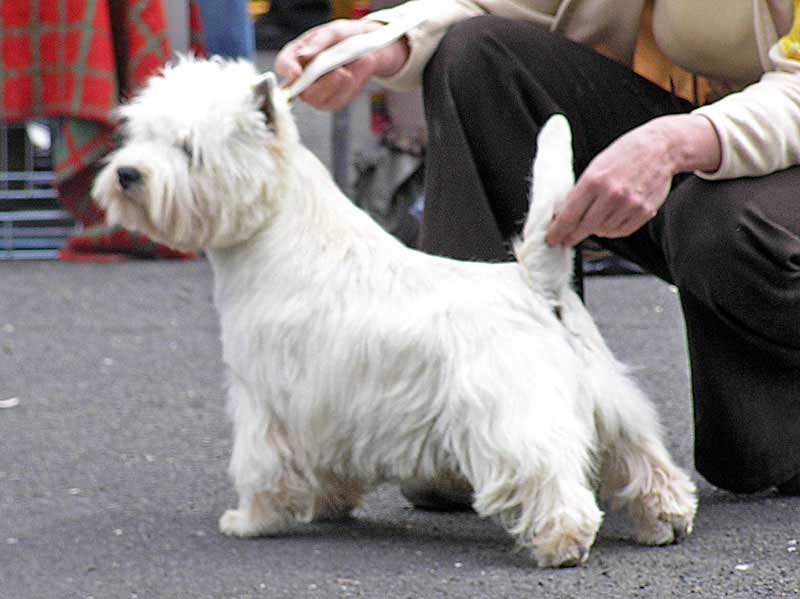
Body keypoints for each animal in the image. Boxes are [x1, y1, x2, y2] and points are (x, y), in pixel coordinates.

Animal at [92, 56, 697, 568]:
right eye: (138, 135)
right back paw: (665, 518)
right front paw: (329, 504)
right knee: (642, 454)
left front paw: (250, 520)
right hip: (609, 397)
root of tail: (534, 283)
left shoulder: (264, 396)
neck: (275, 230)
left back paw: (561, 543)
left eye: (188, 148)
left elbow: (261, 464)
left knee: (546, 473)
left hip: (512, 413)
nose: (127, 175)